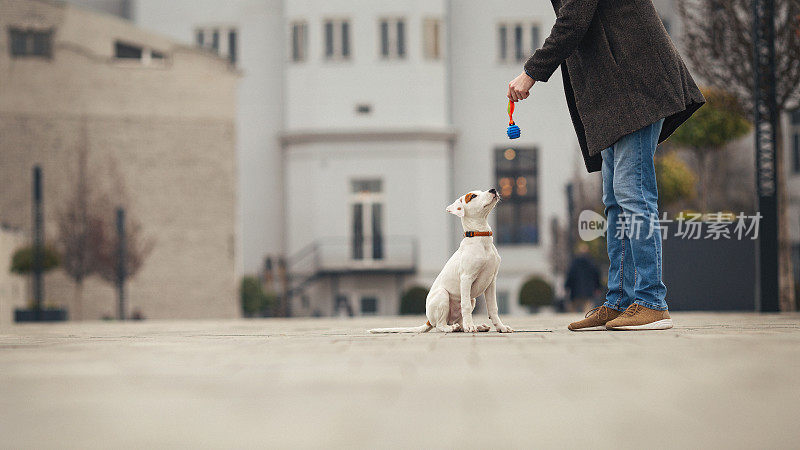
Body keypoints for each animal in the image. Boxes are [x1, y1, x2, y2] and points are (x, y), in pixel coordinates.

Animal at [368, 188, 512, 332]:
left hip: (473, 300)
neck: (481, 238)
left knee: (459, 321)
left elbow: (493, 308)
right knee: (440, 325)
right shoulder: (466, 278)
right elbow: (465, 306)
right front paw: (470, 327)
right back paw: (454, 327)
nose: (493, 189)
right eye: (473, 196)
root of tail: (428, 320)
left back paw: (473, 326)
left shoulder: (491, 281)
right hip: (443, 295)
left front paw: (501, 327)